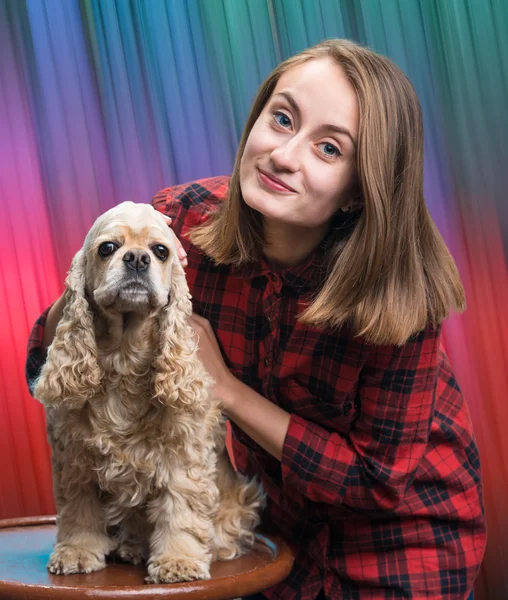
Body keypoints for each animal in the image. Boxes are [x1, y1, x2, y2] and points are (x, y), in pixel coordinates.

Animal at [33, 202, 264, 580]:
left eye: (160, 251)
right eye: (107, 248)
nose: (138, 258)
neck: (123, 359)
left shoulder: (184, 454)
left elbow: (182, 509)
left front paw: (178, 561)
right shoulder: (73, 455)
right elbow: (78, 508)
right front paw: (76, 552)